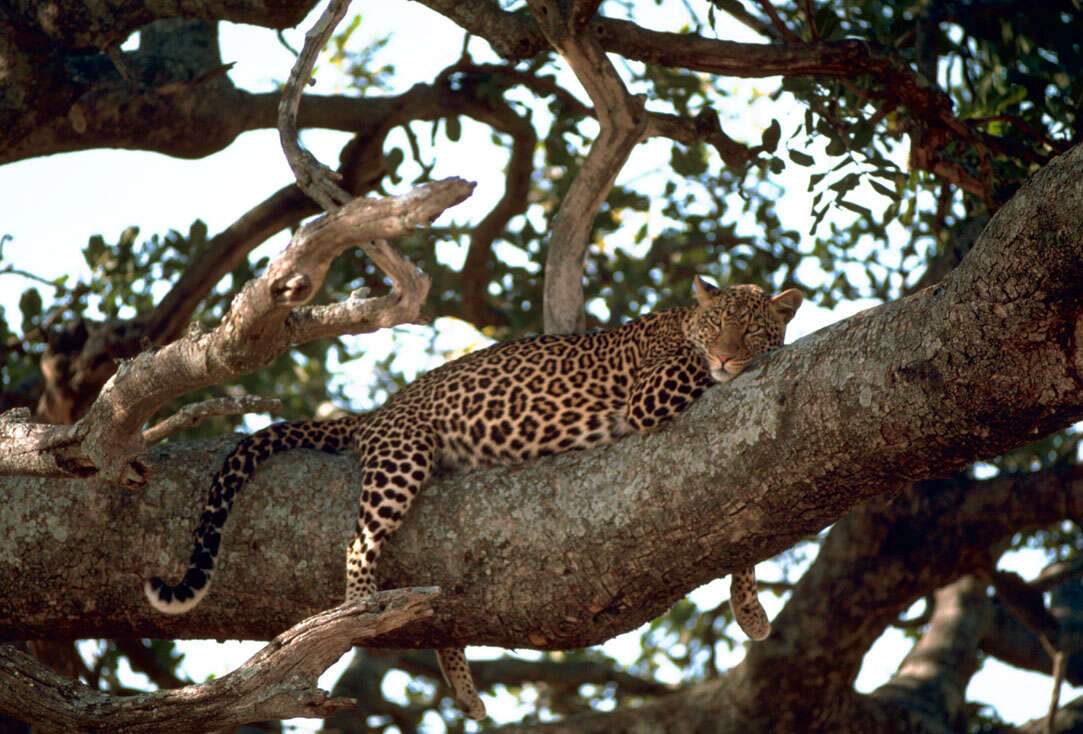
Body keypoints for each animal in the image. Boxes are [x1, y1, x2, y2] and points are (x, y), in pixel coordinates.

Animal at [144, 279, 805, 723]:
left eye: (750, 328)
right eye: (716, 325)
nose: (728, 354)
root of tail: (379, 410)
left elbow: (748, 537)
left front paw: (750, 609)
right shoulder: (654, 392)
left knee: (442, 615)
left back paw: (461, 688)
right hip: (402, 457)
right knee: (358, 543)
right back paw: (360, 613)